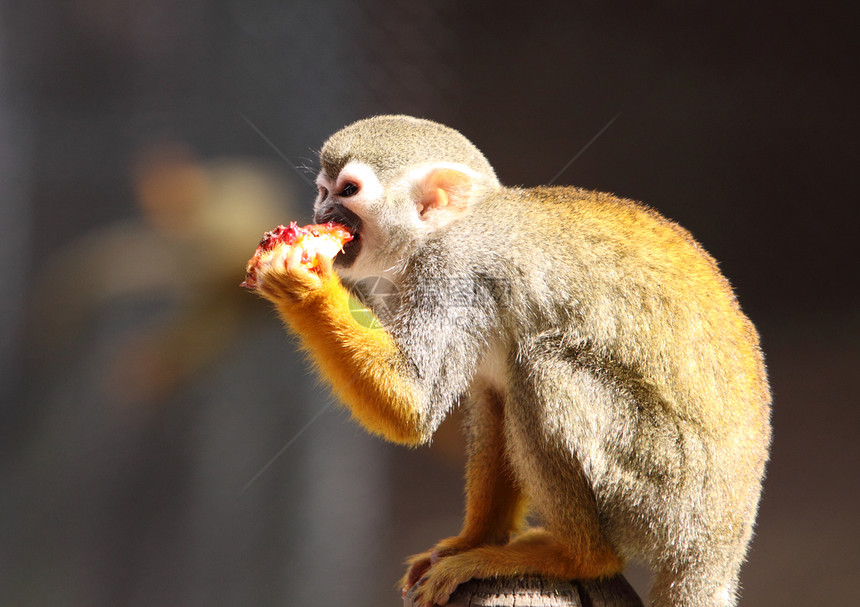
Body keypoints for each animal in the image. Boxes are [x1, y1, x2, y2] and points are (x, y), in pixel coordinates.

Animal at [249, 115, 772, 607]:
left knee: (540, 366)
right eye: (323, 191)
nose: (320, 213)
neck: (442, 232)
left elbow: (413, 407)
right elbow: (486, 396)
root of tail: (719, 548)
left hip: (664, 489)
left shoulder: (455, 271)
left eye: (348, 191)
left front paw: (299, 281)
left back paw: (577, 556)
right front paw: (473, 539)